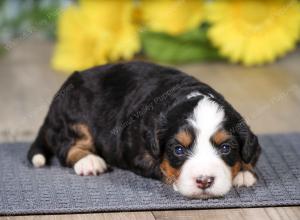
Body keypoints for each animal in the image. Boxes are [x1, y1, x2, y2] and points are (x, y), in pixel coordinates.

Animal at [29, 61, 262, 199]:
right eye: (178, 150)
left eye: (225, 148)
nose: (204, 180)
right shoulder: (138, 153)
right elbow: (162, 167)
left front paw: (243, 172)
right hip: (73, 114)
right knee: (66, 146)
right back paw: (89, 162)